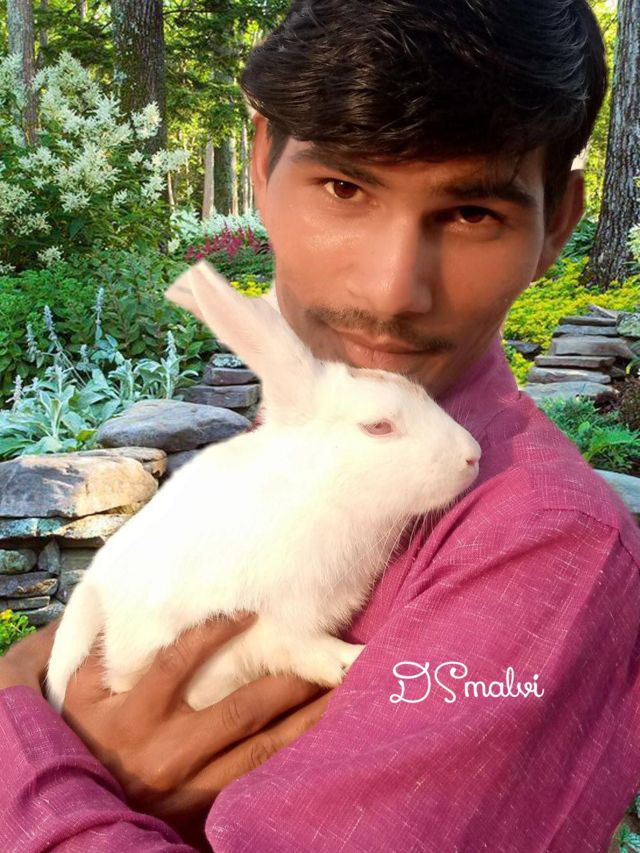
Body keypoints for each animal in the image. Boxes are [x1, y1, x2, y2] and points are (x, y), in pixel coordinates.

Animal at [45, 260, 482, 714]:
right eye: (378, 427)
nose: (473, 455)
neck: (315, 489)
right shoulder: (270, 621)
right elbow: (294, 648)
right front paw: (348, 661)